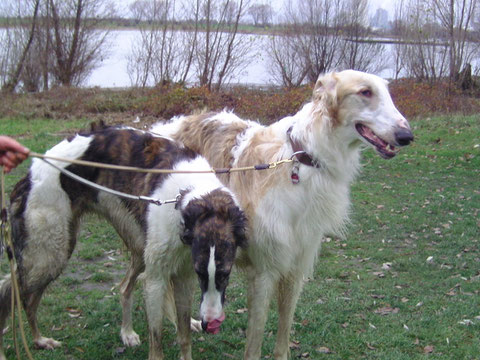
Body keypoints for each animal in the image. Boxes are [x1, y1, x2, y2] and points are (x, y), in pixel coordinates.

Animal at [0, 122, 248, 358]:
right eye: (201, 274)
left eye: (225, 274)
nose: (209, 324)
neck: (188, 195)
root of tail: (30, 175)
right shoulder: (157, 279)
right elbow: (156, 344)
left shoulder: (184, 274)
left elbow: (184, 337)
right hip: (50, 254)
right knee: (16, 293)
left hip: (123, 248)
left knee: (120, 287)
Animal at [152, 69, 414, 358]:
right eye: (365, 92)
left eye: (387, 91)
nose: (407, 135)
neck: (301, 160)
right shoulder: (264, 271)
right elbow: (254, 341)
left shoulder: (295, 268)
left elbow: (284, 332)